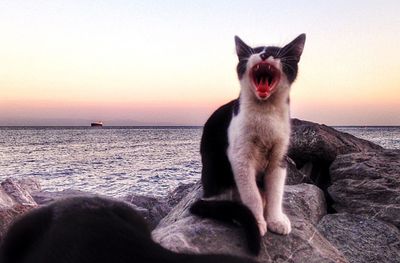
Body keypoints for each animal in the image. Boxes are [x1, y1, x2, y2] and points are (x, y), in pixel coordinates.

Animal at [191, 33, 306, 256]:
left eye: (277, 52)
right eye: (256, 51)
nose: (264, 55)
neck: (265, 113)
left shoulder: (279, 157)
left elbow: (276, 191)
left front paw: (275, 219)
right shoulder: (240, 156)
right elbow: (251, 194)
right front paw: (258, 221)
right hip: (215, 169)